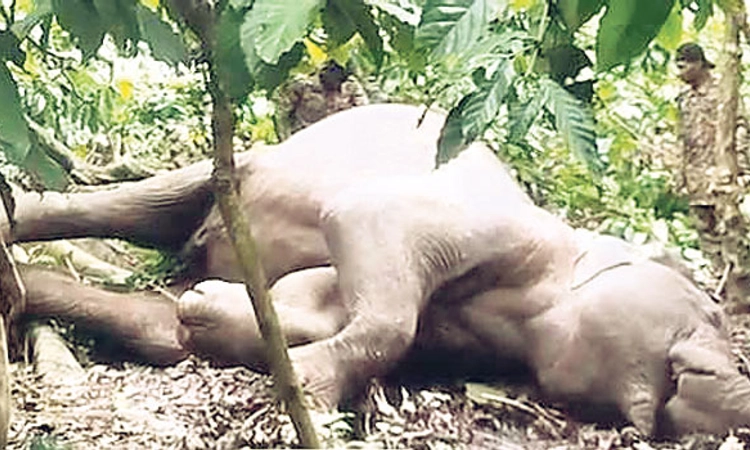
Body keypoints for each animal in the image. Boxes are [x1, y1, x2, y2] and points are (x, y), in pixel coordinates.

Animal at [8, 104, 750, 437]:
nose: (735, 380)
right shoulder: (485, 223)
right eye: (712, 311)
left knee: (149, 318)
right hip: (252, 158)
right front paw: (308, 395)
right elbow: (371, 247)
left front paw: (218, 318)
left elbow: (288, 307)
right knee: (141, 204)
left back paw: (13, 290)